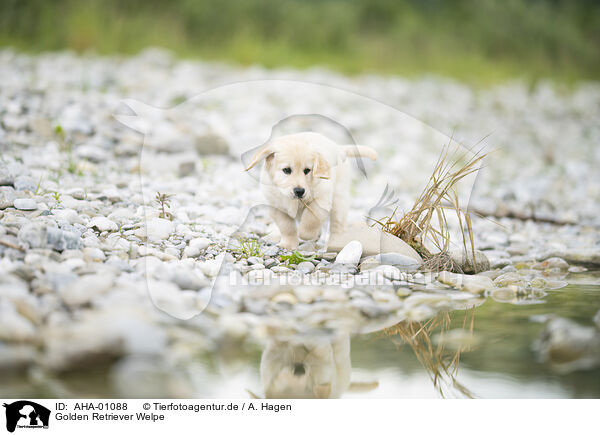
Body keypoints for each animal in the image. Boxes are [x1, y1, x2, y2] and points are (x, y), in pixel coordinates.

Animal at [244, 131, 376, 250]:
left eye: (307, 170)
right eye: (286, 170)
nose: (299, 191)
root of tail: (339, 148)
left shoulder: (321, 202)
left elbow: (310, 221)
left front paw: (305, 234)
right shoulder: (277, 208)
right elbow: (287, 227)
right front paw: (288, 244)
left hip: (339, 199)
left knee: (337, 224)